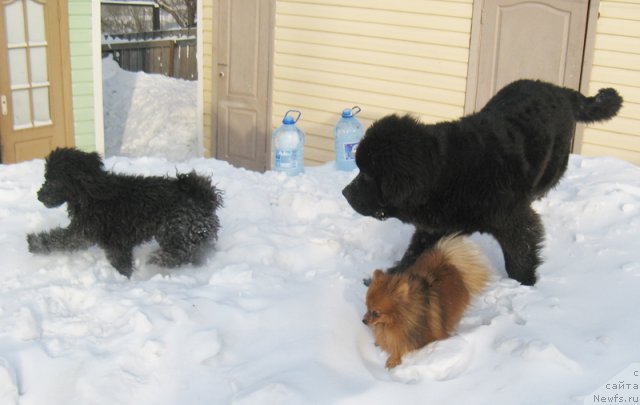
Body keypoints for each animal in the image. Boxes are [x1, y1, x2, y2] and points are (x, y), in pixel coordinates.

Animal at [27, 148, 222, 278]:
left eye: (53, 180)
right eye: (46, 177)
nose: (39, 195)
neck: (91, 192)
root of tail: (205, 196)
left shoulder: (115, 242)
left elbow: (120, 263)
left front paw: (124, 279)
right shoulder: (83, 232)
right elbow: (60, 240)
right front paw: (35, 243)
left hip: (178, 229)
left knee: (181, 252)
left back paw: (157, 259)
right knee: (198, 252)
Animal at [342, 79, 624, 284]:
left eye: (367, 175)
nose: (345, 193)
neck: (448, 172)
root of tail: (559, 89)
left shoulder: (513, 220)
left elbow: (520, 254)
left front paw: (526, 284)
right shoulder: (437, 225)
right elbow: (415, 252)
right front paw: (392, 275)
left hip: (554, 164)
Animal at [362, 234, 492, 370]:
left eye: (376, 313)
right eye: (367, 307)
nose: (363, 320)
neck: (395, 323)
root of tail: (447, 260)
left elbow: (402, 347)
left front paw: (393, 360)